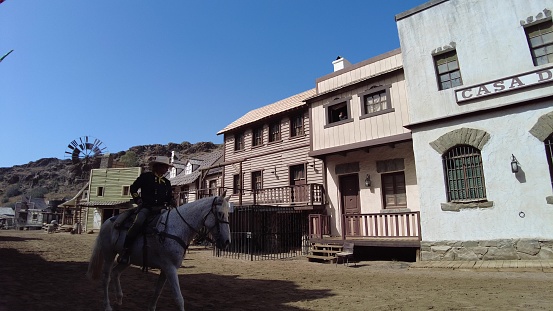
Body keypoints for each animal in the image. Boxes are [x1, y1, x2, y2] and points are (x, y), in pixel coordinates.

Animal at [87, 195, 230, 311]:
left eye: (228, 214)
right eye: (220, 214)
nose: (227, 242)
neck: (176, 228)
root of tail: (107, 222)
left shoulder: (166, 269)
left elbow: (157, 291)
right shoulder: (170, 268)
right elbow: (179, 298)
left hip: (127, 259)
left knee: (116, 272)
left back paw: (119, 299)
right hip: (109, 255)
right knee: (106, 278)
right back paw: (107, 306)